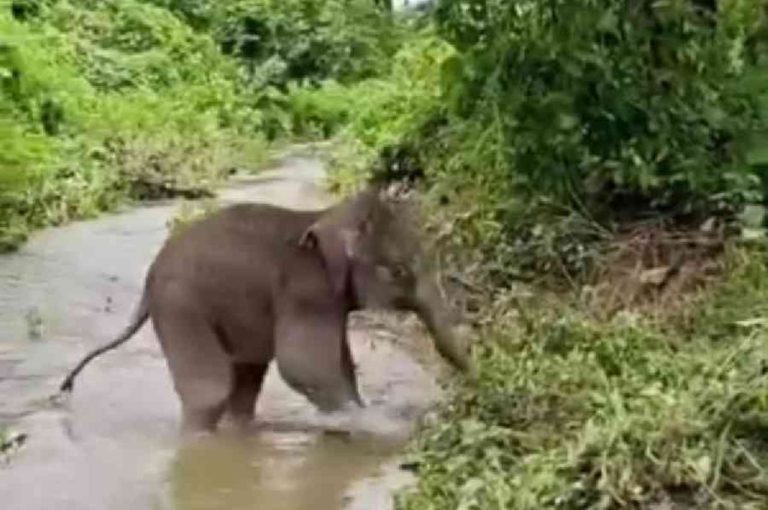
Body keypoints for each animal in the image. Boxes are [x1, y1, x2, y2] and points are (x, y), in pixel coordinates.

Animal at [58, 186, 471, 432]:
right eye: (399, 271)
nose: (472, 379)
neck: (326, 214)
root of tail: (150, 277)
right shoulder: (305, 290)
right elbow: (301, 365)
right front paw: (368, 423)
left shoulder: (327, 298)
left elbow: (337, 364)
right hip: (179, 306)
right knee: (211, 390)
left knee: (245, 379)